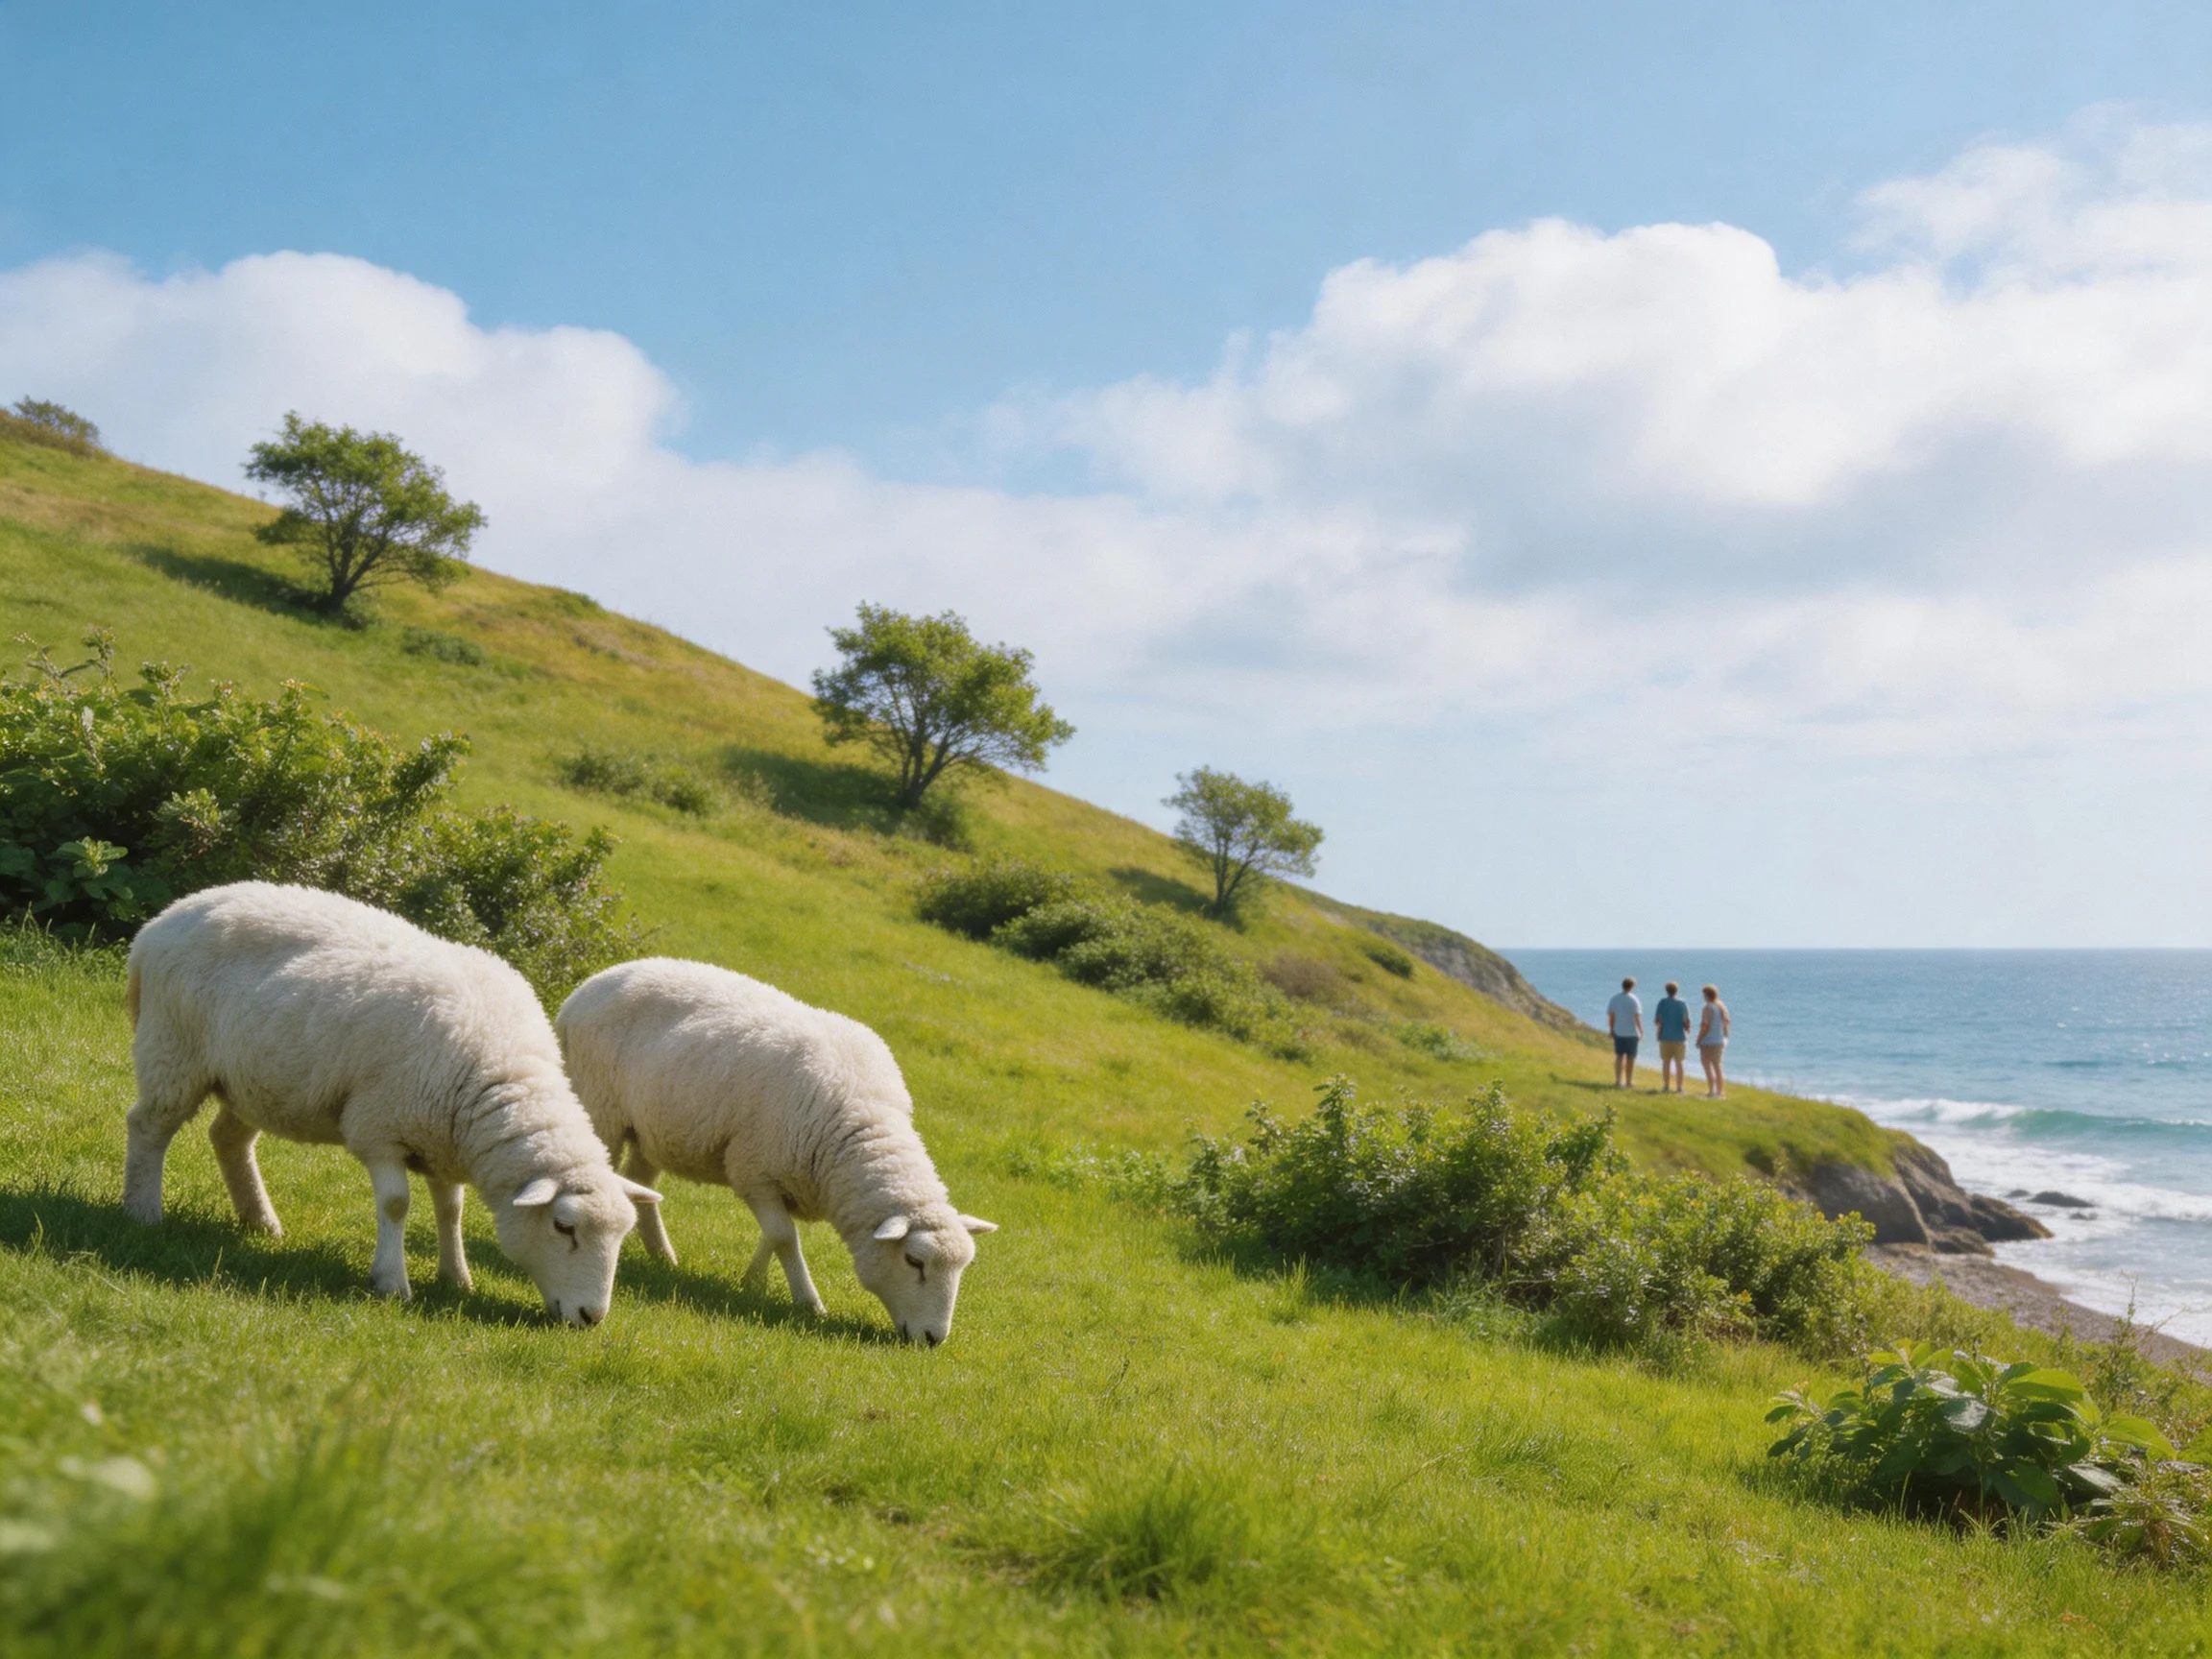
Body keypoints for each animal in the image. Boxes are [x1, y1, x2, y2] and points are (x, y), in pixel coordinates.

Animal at [121, 881, 662, 1327]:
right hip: (174, 1050)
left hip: (252, 1079)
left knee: (228, 1139)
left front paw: (456, 1277)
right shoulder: (379, 1126)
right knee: (148, 1127)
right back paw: (142, 1212)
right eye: (563, 1227)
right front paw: (391, 1282)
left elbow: (451, 1210)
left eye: (622, 1235)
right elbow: (397, 1203)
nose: (592, 1317)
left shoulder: (442, 1137)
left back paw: (260, 1221)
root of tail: (163, 920)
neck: (499, 1074)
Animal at [557, 957, 996, 1346]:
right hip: (601, 1106)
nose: (934, 1339)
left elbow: (773, 1234)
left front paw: (752, 1280)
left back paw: (663, 1256)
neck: (858, 1127)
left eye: (962, 1267)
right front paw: (808, 1302)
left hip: (654, 1127)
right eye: (915, 1262)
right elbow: (784, 1236)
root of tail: (589, 986)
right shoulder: (753, 1169)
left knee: (642, 1183)